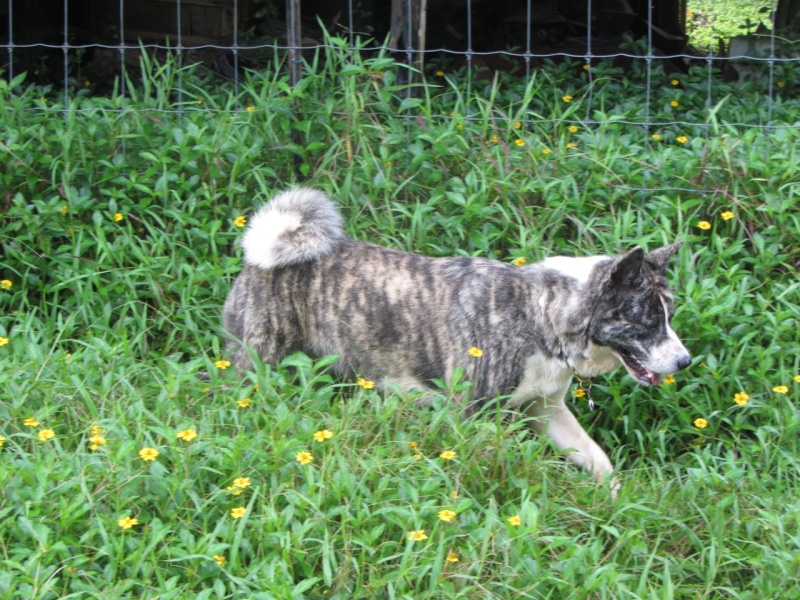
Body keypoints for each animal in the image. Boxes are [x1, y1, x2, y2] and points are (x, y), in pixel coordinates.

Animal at [222, 189, 692, 492]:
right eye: (649, 320)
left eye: (669, 315)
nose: (685, 362)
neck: (541, 313)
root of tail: (260, 255)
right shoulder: (470, 415)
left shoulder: (547, 411)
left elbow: (598, 459)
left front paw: (615, 500)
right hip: (255, 367)